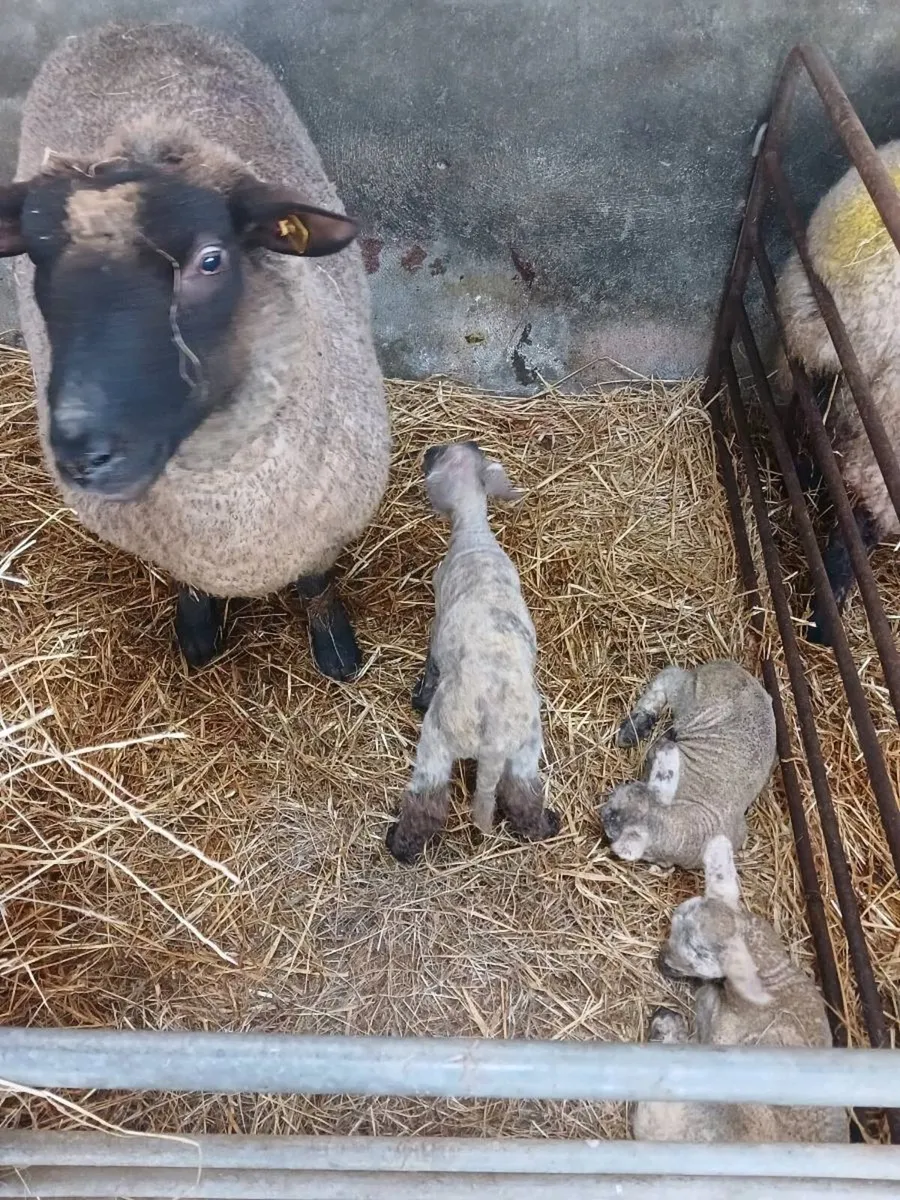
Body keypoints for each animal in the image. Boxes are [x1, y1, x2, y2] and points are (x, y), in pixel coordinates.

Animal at [0, 22, 390, 679]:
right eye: (35, 256)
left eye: (210, 260)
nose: (82, 455)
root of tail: (126, 25)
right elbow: (190, 584)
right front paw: (198, 629)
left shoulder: (322, 527)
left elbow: (315, 584)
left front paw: (336, 648)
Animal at [385, 441, 560, 864]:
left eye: (438, 454)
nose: (426, 451)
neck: (475, 534)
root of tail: (493, 739)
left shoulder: (437, 618)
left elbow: (431, 662)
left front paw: (419, 694)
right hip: (526, 750)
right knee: (523, 798)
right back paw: (546, 825)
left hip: (437, 743)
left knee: (427, 804)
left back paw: (400, 846)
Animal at [598, 660, 776, 870]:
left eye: (612, 821)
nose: (605, 807)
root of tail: (730, 665)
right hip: (690, 694)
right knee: (669, 677)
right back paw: (636, 726)